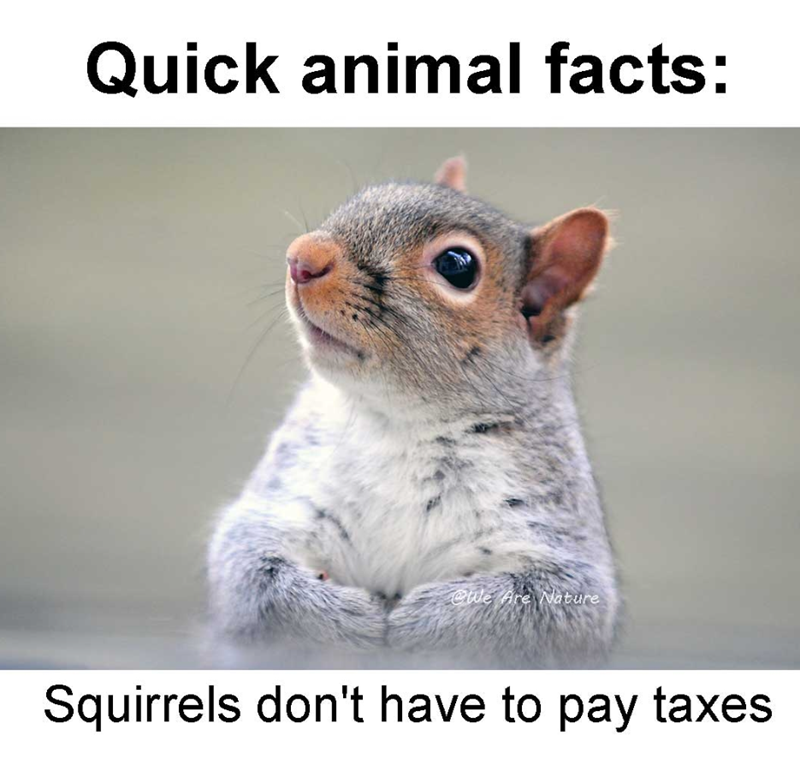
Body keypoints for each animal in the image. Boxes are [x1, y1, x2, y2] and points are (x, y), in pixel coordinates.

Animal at [208, 157, 620, 667]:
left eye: (457, 266)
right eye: (363, 197)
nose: (301, 257)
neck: (400, 423)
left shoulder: (557, 539)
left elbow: (546, 608)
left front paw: (427, 621)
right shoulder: (284, 497)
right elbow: (248, 570)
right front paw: (343, 616)